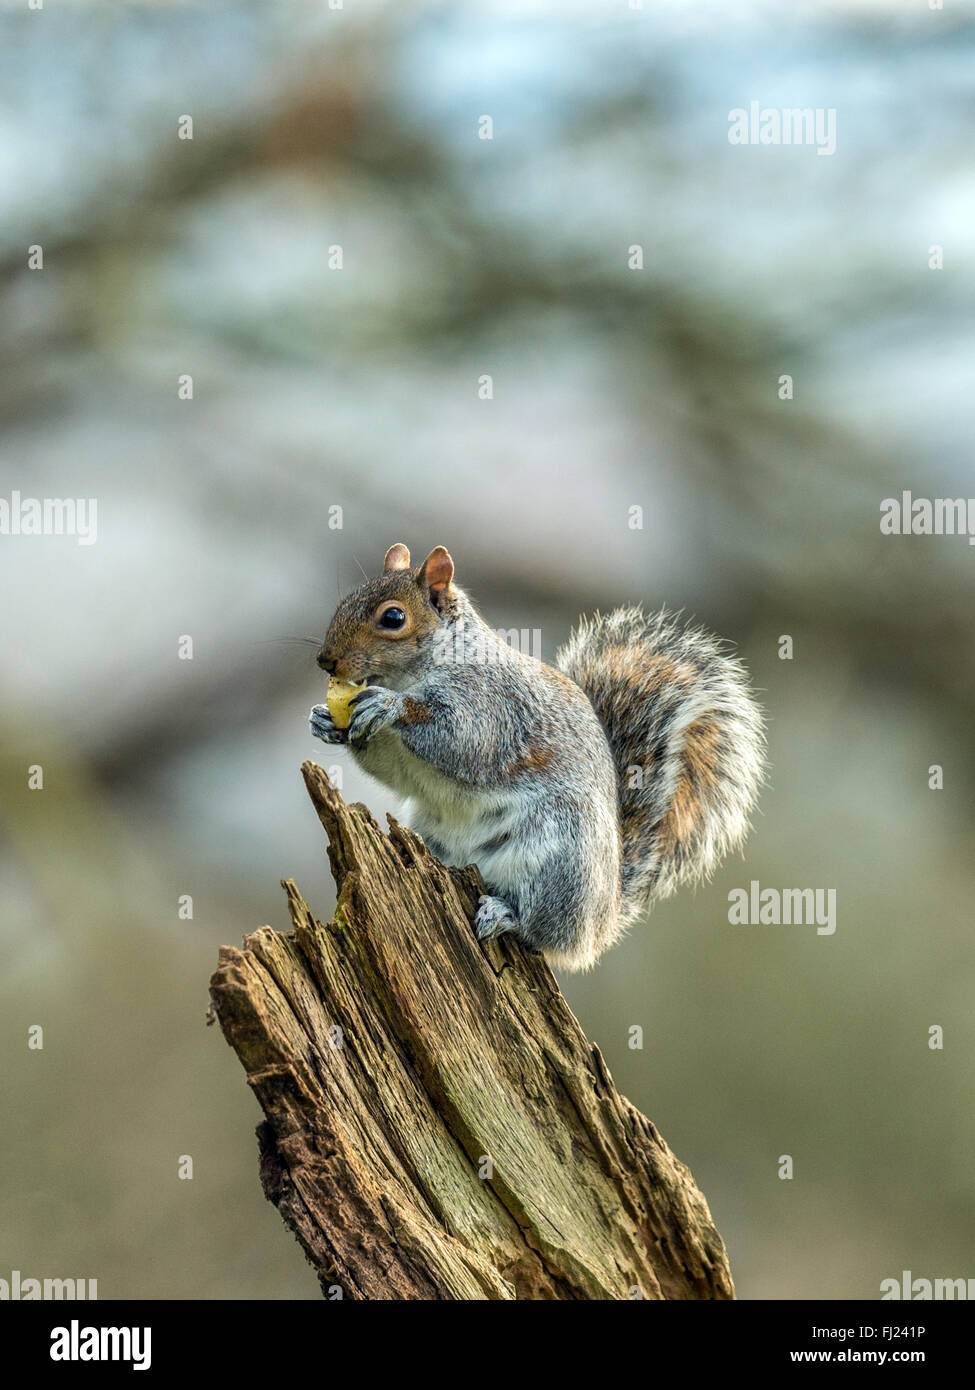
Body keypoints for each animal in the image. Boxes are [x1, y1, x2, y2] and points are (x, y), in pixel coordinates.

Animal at [307, 539, 762, 967]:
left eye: (393, 618)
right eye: (343, 603)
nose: (326, 661)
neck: (415, 670)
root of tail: (604, 918)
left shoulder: (492, 706)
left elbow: (460, 739)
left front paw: (391, 706)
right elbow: (391, 766)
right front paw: (326, 722)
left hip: (560, 860)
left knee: (545, 931)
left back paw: (507, 914)